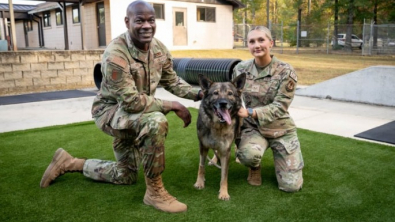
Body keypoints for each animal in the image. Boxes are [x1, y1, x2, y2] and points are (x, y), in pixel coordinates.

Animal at [193, 73, 246, 201]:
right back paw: (213, 160)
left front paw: (223, 193)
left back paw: (238, 158)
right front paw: (199, 182)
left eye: (230, 93)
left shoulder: (226, 151)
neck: (217, 125)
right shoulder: (203, 146)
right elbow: (201, 166)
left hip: (238, 133)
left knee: (237, 145)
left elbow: (224, 175)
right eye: (215, 93)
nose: (223, 103)